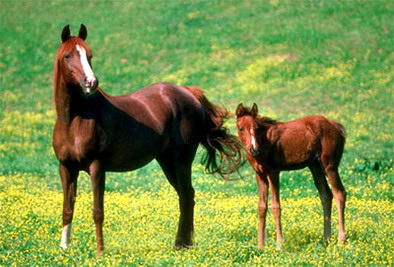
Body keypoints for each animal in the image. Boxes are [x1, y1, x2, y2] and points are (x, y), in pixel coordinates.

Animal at [53, 24, 243, 255]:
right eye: (68, 55)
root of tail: (188, 93)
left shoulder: (96, 167)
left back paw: (181, 244)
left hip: (182, 158)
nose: (91, 82)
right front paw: (64, 248)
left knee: (186, 195)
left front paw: (99, 252)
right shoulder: (66, 167)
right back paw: (184, 243)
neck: (75, 120)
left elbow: (98, 210)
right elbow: (67, 208)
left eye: (89, 55)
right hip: (166, 160)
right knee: (186, 196)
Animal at [235, 103, 346, 250]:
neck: (264, 141)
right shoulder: (260, 175)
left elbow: (276, 206)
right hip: (315, 166)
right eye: (241, 128)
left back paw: (341, 239)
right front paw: (260, 246)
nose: (254, 150)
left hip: (329, 165)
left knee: (340, 193)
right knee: (326, 195)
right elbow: (262, 207)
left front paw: (279, 245)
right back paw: (325, 239)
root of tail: (335, 125)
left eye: (256, 128)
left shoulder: (273, 172)